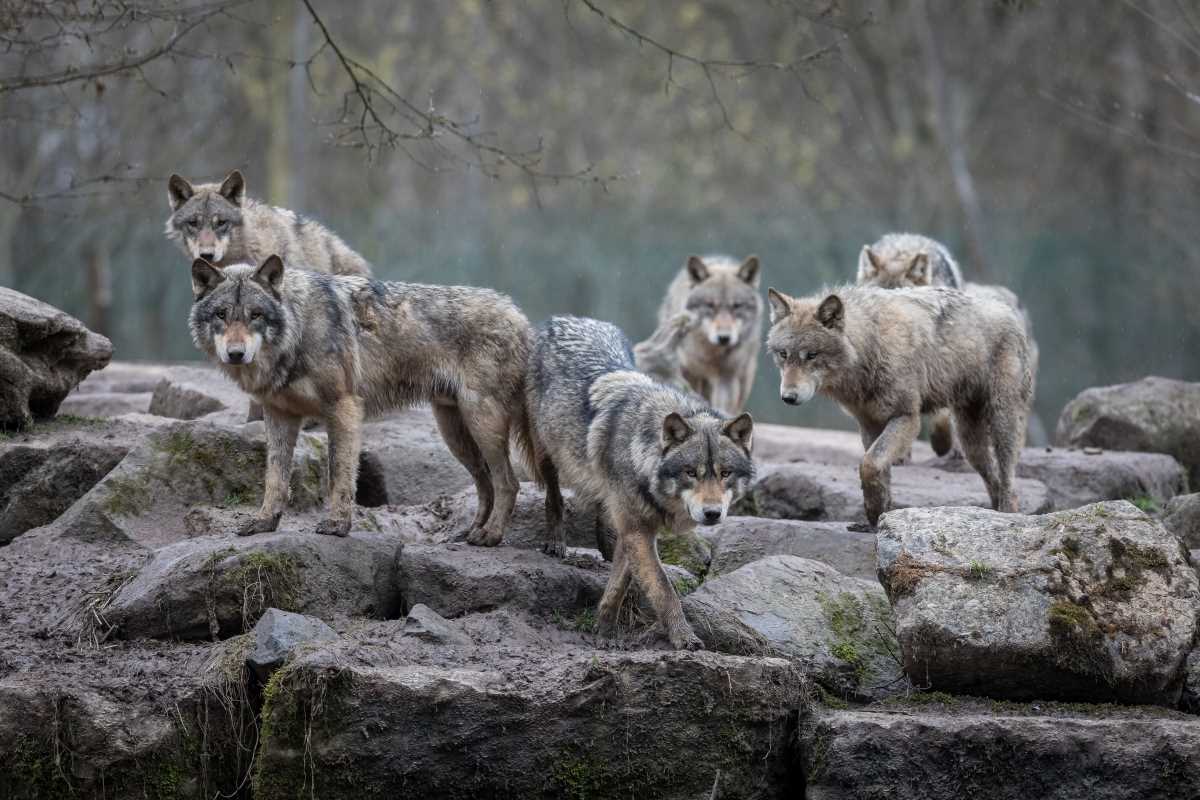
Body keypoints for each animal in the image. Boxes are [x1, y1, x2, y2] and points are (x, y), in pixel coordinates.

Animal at [189, 255, 532, 544]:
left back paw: (490, 536)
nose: (235, 354)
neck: (298, 330)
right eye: (221, 315)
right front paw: (264, 522)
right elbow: (275, 477)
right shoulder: (279, 415)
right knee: (486, 482)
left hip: (481, 423)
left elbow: (339, 474)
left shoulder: (344, 407)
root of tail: (519, 315)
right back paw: (472, 531)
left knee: (508, 482)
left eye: (256, 315)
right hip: (454, 433)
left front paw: (338, 525)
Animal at [530, 314, 753, 652]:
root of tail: (568, 318)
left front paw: (604, 630)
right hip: (546, 451)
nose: (713, 513)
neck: (641, 453)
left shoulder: (635, 531)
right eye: (691, 472)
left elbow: (619, 584)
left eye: (724, 473)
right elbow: (663, 588)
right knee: (553, 495)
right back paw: (556, 540)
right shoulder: (638, 531)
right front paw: (683, 637)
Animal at [652, 255, 763, 419]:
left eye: (736, 306)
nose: (724, 338)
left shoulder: (727, 377)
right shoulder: (690, 373)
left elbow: (723, 406)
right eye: (710, 305)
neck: (711, 354)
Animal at [768, 284, 1032, 527]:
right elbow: (877, 469)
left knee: (1008, 478)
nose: (788, 397)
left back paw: (1007, 516)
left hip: (1001, 423)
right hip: (970, 443)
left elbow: (870, 463)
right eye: (783, 354)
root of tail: (1009, 311)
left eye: (811, 355)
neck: (872, 346)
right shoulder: (869, 424)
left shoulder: (907, 418)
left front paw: (875, 512)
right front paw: (878, 515)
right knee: (994, 479)